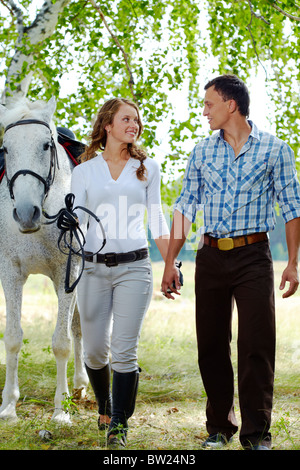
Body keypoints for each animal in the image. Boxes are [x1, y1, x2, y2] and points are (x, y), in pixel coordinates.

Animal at [0, 97, 88, 424]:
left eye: (46, 145)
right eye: (6, 149)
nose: (27, 213)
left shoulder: (68, 272)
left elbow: (61, 343)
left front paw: (61, 409)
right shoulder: (11, 272)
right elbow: (13, 337)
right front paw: (9, 406)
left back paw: (79, 386)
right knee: (77, 324)